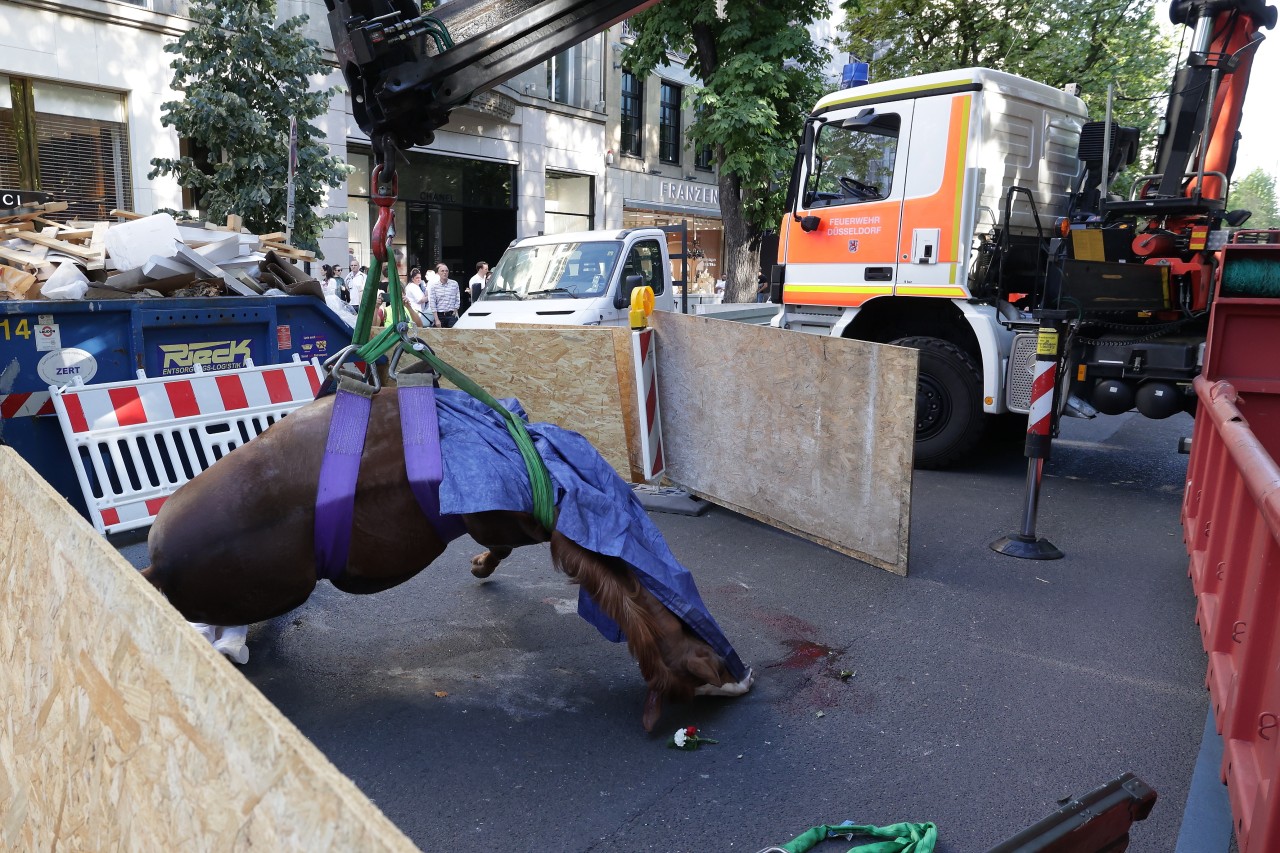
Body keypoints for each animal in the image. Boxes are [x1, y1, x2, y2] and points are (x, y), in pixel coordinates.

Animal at [142, 381, 747, 727]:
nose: (736, 675)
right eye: (701, 664)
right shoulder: (513, 521)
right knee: (224, 634)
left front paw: (482, 567)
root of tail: (157, 565)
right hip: (271, 589)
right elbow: (607, 577)